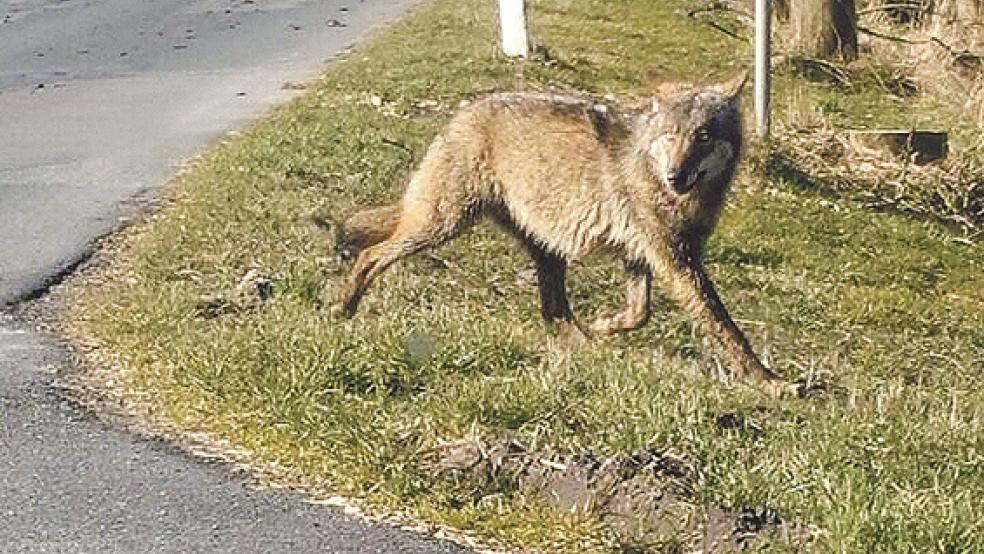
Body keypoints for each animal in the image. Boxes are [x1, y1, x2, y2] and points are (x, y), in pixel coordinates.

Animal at [334, 73, 788, 394]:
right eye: (671, 136)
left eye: (703, 136)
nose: (676, 176)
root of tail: (464, 111)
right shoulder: (675, 261)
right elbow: (725, 326)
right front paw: (770, 383)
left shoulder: (644, 255)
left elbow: (639, 313)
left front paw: (605, 324)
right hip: (442, 225)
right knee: (370, 256)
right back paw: (344, 309)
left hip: (544, 248)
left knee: (553, 310)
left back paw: (585, 343)